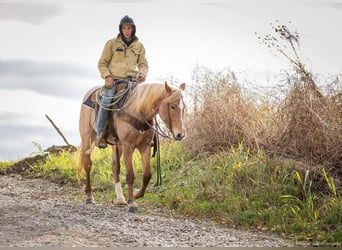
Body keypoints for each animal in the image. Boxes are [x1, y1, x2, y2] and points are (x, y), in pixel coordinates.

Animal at [77, 82, 186, 213]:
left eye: (184, 108)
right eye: (173, 107)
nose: (180, 135)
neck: (138, 111)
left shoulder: (144, 147)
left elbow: (147, 175)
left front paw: (136, 194)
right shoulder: (128, 147)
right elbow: (130, 175)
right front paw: (132, 204)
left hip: (117, 145)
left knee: (115, 168)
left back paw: (120, 199)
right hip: (87, 139)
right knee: (87, 164)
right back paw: (89, 197)